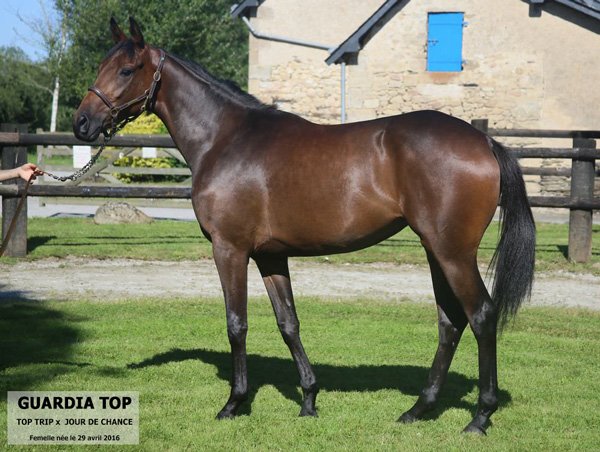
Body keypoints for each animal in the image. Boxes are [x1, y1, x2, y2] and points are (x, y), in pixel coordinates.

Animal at [73, 17, 535, 435]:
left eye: (127, 70)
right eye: (100, 65)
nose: (82, 123)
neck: (226, 139)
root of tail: (484, 141)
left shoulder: (230, 249)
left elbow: (236, 323)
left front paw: (234, 404)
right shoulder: (270, 257)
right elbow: (288, 323)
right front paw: (309, 401)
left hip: (453, 252)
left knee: (481, 315)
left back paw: (480, 417)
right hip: (435, 250)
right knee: (450, 322)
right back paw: (418, 410)